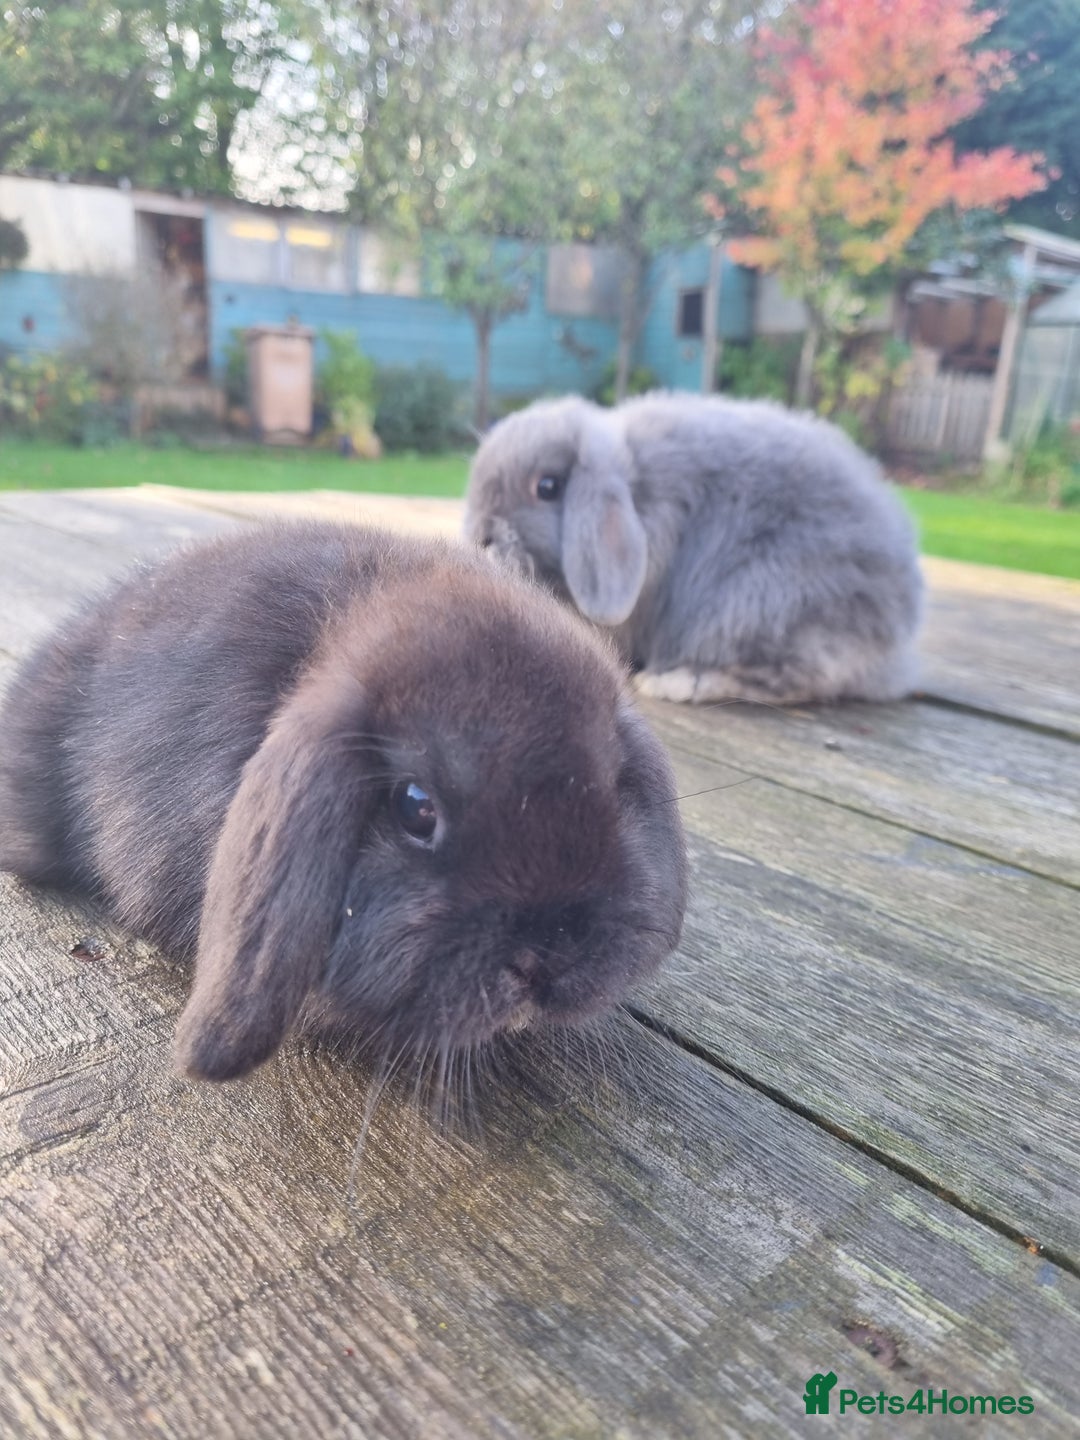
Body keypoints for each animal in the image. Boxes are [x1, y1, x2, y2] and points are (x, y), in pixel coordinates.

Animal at [464, 391, 924, 705]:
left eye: (547, 487)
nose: (480, 535)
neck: (638, 492)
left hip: (759, 600)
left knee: (796, 678)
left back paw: (678, 681)